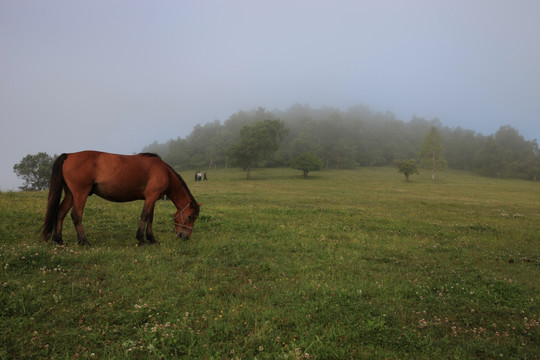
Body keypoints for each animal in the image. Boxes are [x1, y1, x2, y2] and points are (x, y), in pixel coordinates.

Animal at [40, 150, 200, 246]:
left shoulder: (152, 198)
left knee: (61, 212)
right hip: (80, 194)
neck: (164, 171)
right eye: (190, 216)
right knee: (76, 215)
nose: (185, 236)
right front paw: (141, 239)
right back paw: (84, 241)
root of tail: (69, 155)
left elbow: (150, 218)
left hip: (70, 194)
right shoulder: (151, 197)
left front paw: (152, 239)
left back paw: (59, 239)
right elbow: (145, 216)